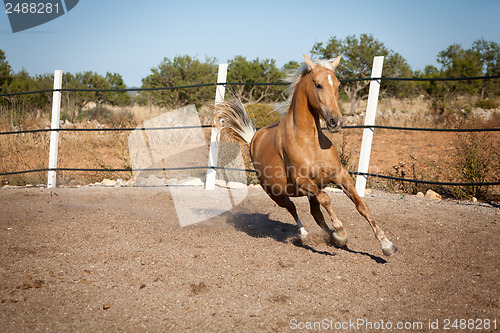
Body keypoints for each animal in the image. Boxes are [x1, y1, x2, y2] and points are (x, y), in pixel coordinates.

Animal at [214, 55, 398, 256]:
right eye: (318, 85)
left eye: (338, 85)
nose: (335, 121)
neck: (310, 142)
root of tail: (253, 138)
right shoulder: (302, 180)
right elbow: (326, 198)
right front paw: (341, 233)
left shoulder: (340, 175)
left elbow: (361, 205)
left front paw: (386, 244)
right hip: (276, 193)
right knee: (292, 208)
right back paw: (306, 234)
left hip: (307, 191)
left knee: (315, 213)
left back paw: (330, 237)